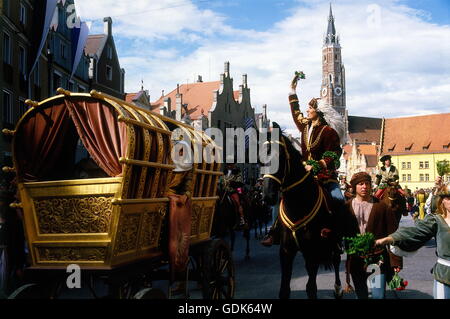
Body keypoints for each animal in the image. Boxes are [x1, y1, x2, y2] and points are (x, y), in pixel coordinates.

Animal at [260, 130, 342, 300]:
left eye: (279, 157)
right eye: (260, 159)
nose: (268, 196)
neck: (298, 204)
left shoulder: (313, 251)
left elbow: (311, 288)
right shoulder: (286, 251)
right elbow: (284, 290)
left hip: (334, 241)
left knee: (336, 260)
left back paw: (338, 288)